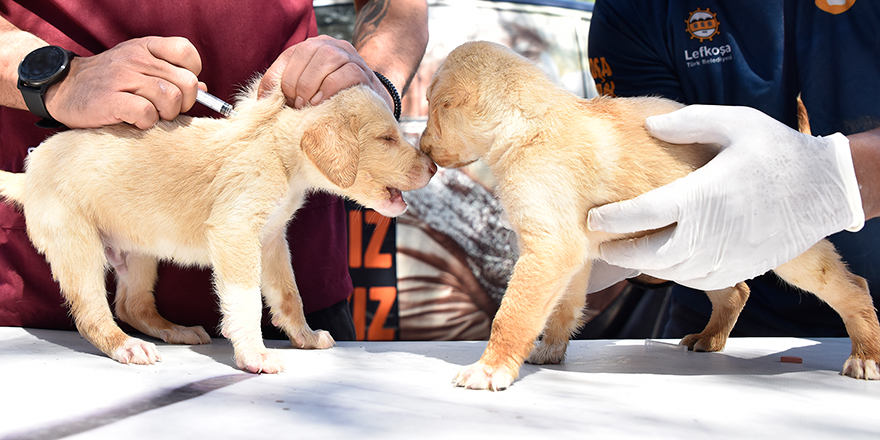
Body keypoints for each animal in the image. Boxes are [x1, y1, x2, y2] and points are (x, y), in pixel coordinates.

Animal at [0, 78, 436, 372]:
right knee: (93, 314)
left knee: (132, 305)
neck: (279, 150)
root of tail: (29, 173)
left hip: (138, 254)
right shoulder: (236, 232)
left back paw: (174, 331)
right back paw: (126, 347)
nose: (433, 166)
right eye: (386, 138)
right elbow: (245, 300)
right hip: (78, 247)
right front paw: (254, 354)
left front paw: (305, 337)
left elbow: (289, 295)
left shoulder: (272, 240)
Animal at [422, 41, 880, 390]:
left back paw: (866, 357)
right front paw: (551, 349)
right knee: (735, 292)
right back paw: (709, 338)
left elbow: (512, 315)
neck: (526, 121)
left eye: (432, 108)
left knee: (852, 287)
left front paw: (490, 369)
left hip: (790, 251)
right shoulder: (572, 254)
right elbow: (564, 307)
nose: (424, 151)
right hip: (703, 251)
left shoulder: (548, 250)